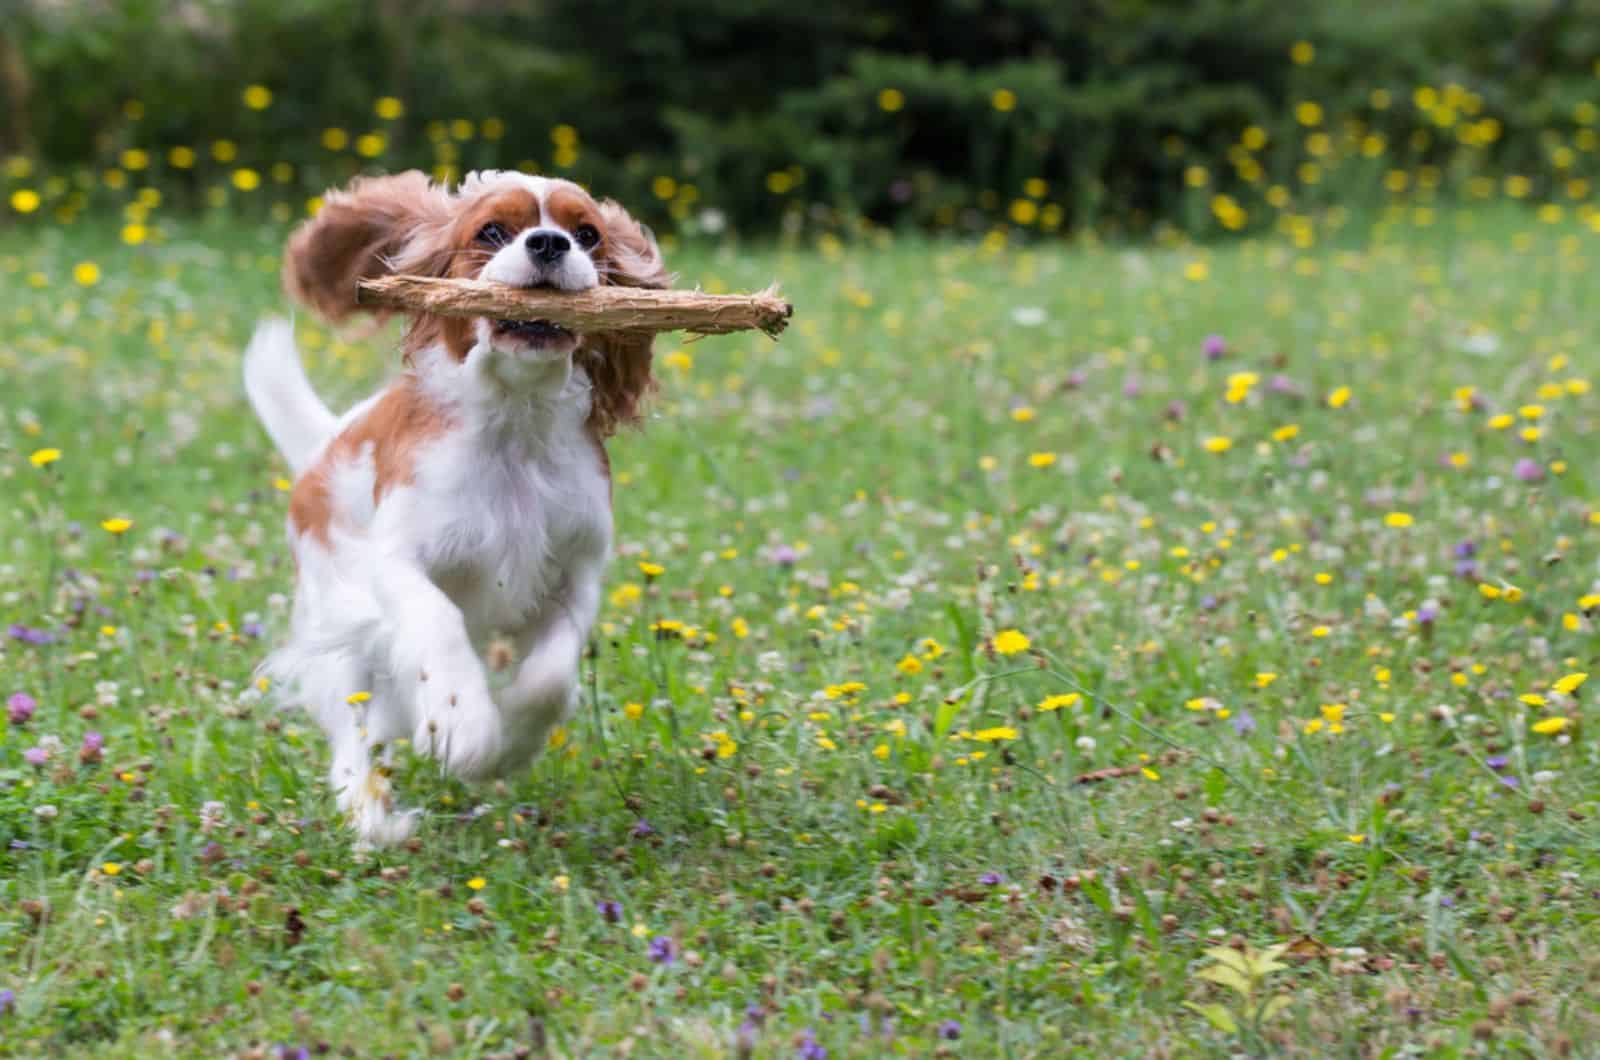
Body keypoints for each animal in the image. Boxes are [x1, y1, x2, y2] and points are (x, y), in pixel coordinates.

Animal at [241, 168, 662, 845]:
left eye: (588, 234)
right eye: (491, 231)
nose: (550, 244)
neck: (514, 419)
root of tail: (325, 444)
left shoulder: (576, 574)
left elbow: (551, 679)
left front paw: (505, 742)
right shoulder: (399, 563)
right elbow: (437, 624)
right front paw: (461, 727)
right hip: (342, 618)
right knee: (353, 733)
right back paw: (373, 818)